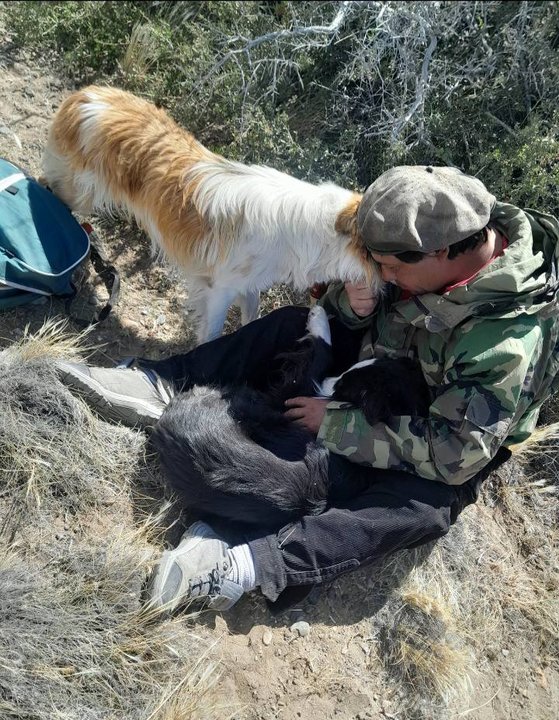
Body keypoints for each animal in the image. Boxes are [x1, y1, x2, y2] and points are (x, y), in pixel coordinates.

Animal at [41, 84, 378, 344]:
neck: (307, 227)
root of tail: (89, 94)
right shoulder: (220, 290)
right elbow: (212, 334)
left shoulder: (248, 285)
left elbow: (252, 318)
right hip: (79, 191)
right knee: (48, 190)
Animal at [151, 306, 430, 528]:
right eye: (345, 378)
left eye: (345, 387)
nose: (329, 384)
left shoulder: (291, 393)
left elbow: (320, 353)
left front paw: (317, 315)